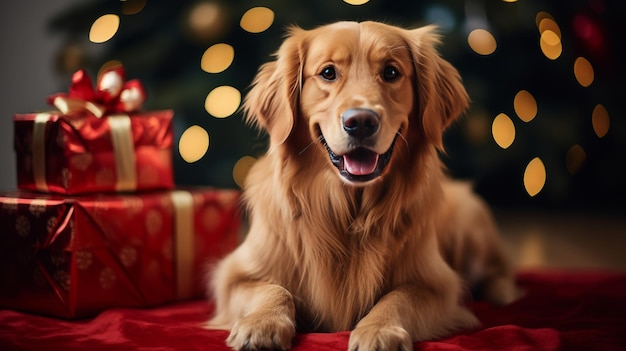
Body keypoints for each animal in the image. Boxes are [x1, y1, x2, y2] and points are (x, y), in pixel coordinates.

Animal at [207, 20, 516, 350]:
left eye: (391, 72)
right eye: (328, 72)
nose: (361, 122)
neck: (347, 211)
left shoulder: (438, 284)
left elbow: (400, 296)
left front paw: (380, 329)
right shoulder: (234, 274)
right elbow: (273, 289)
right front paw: (262, 324)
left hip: (471, 218)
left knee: (499, 271)